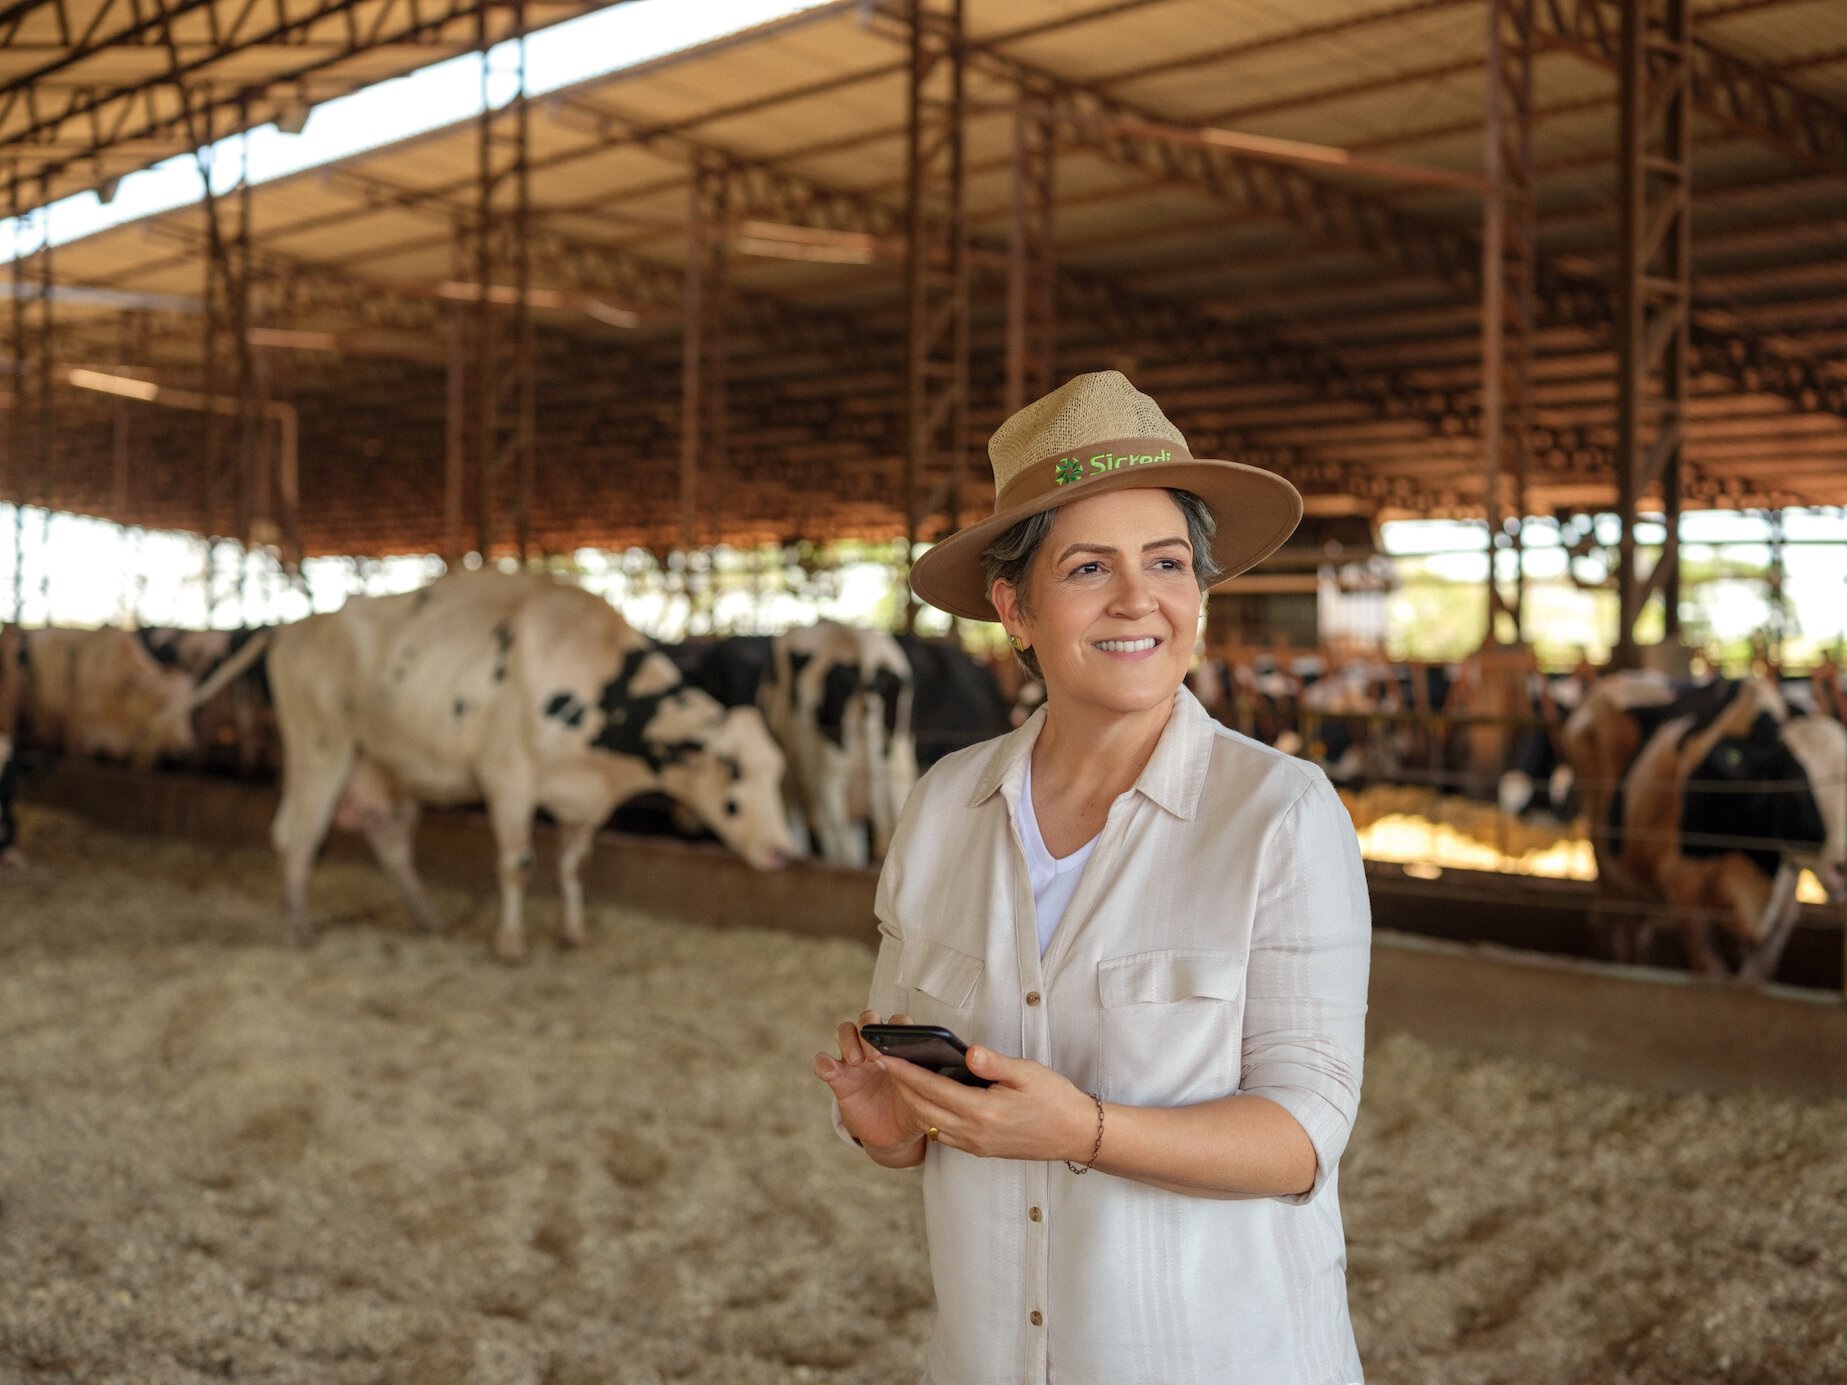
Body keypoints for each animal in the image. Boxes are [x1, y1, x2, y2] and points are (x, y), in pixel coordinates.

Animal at [264, 572, 797, 967]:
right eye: (733, 769)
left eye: (777, 771)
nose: (784, 853)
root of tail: (296, 626)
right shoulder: (508, 778)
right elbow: (518, 864)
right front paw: (511, 944)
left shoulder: (581, 802)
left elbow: (573, 867)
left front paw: (573, 932)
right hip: (320, 747)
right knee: (299, 833)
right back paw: (297, 929)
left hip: (379, 766)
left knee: (390, 841)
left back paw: (428, 919)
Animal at [1558, 675, 1847, 989]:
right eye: (1797, 793)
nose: (1842, 868)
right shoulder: (1683, 886)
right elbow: (1711, 971)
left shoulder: (1783, 909)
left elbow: (1753, 979)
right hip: (1610, 871)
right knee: (1617, 930)